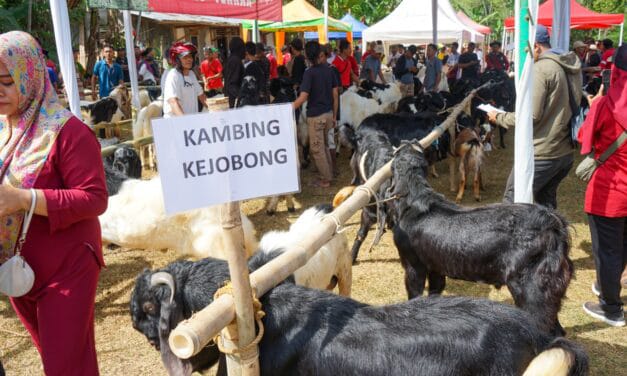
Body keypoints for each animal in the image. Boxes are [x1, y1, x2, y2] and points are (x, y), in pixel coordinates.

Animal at [390, 145, 576, 336]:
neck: (413, 200)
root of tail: (555, 226)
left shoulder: (413, 265)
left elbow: (415, 294)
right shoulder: (435, 267)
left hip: (532, 289)